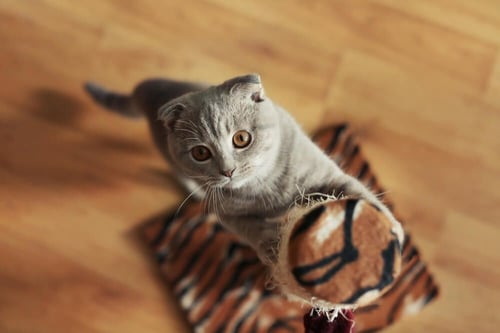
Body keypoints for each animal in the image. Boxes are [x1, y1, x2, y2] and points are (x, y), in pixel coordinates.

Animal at [86, 74, 404, 260]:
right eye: (201, 153)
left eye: (241, 139)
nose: (227, 170)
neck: (269, 186)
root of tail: (148, 87)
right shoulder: (228, 214)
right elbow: (251, 231)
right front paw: (273, 251)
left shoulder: (327, 174)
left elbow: (357, 190)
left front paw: (392, 232)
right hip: (171, 159)